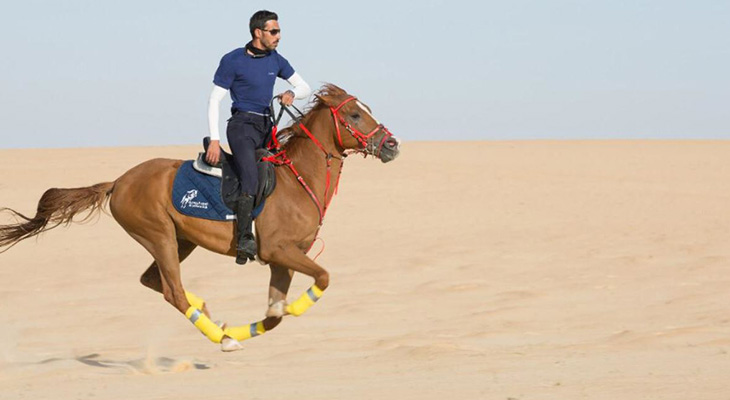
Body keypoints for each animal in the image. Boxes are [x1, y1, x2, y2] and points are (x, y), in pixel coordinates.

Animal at [0, 84, 401, 352]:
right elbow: (323, 278)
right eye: (354, 114)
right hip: (159, 236)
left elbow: (274, 314)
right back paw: (221, 337)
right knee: (172, 291)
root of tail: (118, 182)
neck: (295, 181)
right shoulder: (277, 251)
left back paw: (211, 314)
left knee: (153, 280)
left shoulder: (284, 259)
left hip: (182, 240)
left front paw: (244, 325)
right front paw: (252, 326)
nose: (392, 145)